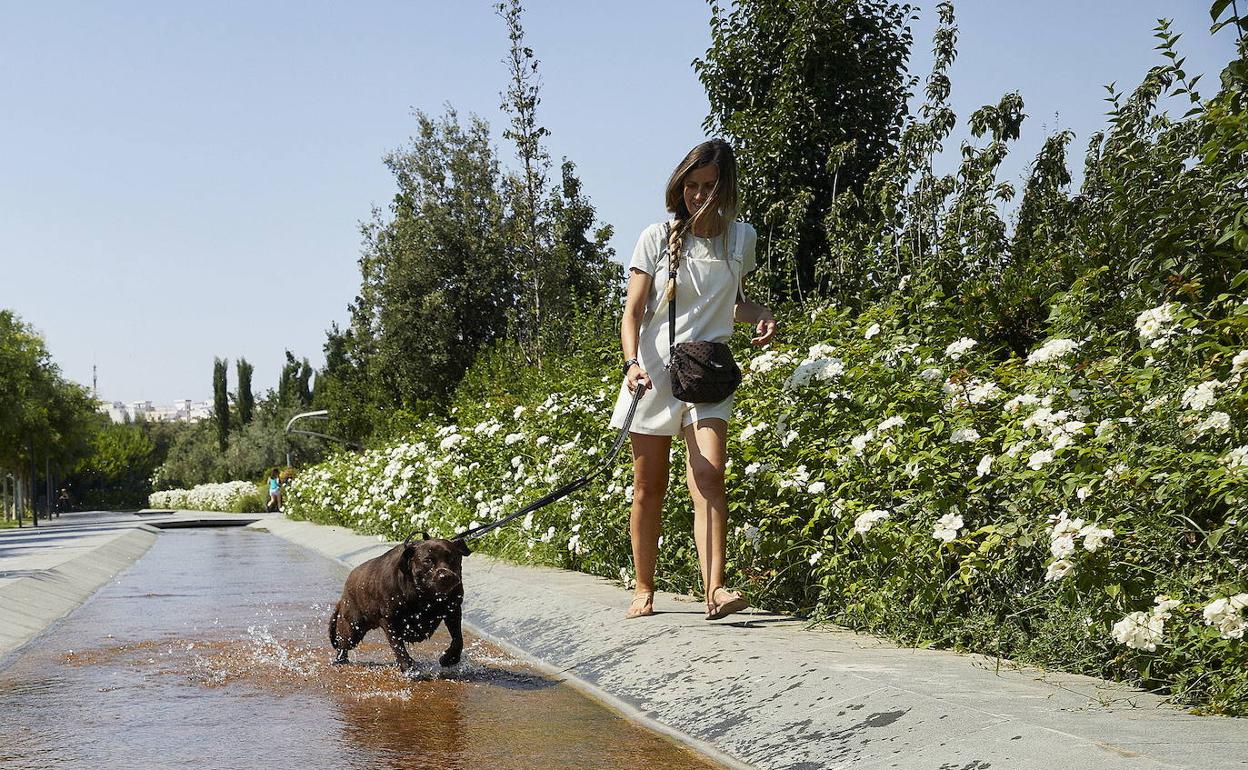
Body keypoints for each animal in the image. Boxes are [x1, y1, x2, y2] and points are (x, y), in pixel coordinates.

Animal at [329, 531, 469, 668]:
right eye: (428, 560)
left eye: (452, 558)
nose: (445, 576)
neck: (424, 596)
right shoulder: (390, 620)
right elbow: (397, 646)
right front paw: (408, 667)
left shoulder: (453, 610)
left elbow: (458, 638)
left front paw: (450, 658)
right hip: (352, 627)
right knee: (343, 645)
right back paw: (340, 660)